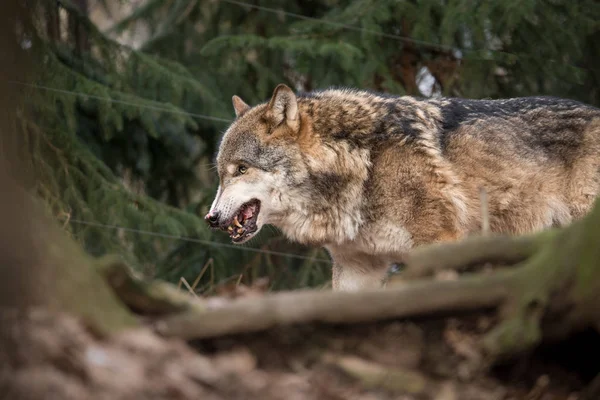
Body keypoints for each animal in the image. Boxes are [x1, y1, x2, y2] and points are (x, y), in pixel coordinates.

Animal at [204, 83, 600, 290]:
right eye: (221, 174)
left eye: (242, 169)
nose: (210, 218)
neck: (365, 166)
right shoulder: (356, 268)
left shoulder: (438, 247)